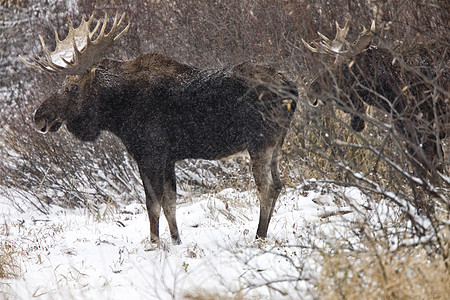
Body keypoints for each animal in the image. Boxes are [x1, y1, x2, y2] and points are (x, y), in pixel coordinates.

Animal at [19, 12, 298, 245]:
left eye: (72, 87)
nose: (39, 117)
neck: (117, 115)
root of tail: (292, 88)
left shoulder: (149, 153)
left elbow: (152, 203)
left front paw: (154, 243)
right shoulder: (168, 157)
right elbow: (170, 203)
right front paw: (176, 240)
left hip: (260, 142)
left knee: (266, 188)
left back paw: (259, 236)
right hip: (277, 143)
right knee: (279, 184)